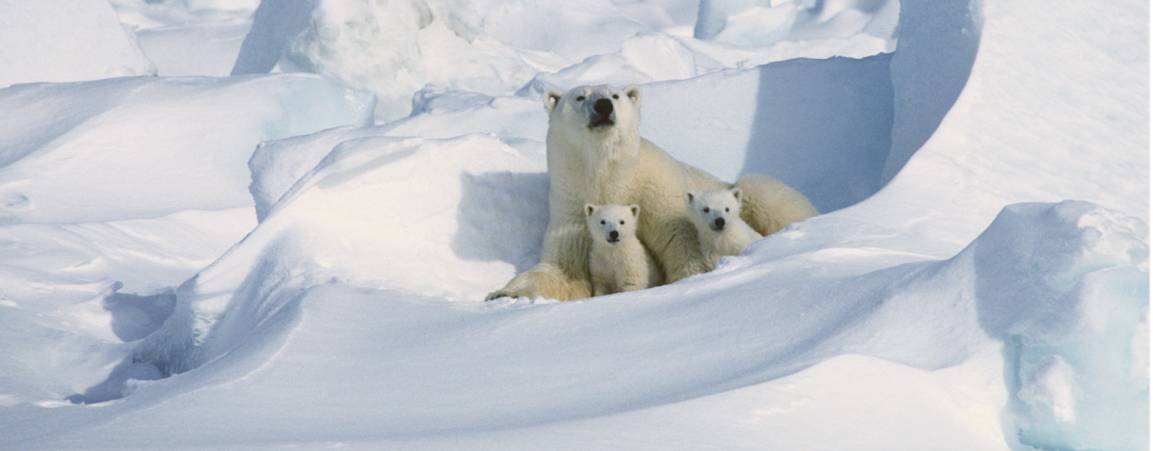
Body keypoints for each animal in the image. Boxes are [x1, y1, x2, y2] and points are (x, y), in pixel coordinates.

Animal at [486, 85, 820, 302]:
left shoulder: (656, 192)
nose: (603, 105)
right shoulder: (572, 208)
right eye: (580, 96)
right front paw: (504, 293)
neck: (609, 177)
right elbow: (563, 269)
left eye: (615, 95)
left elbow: (681, 240)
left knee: (761, 191)